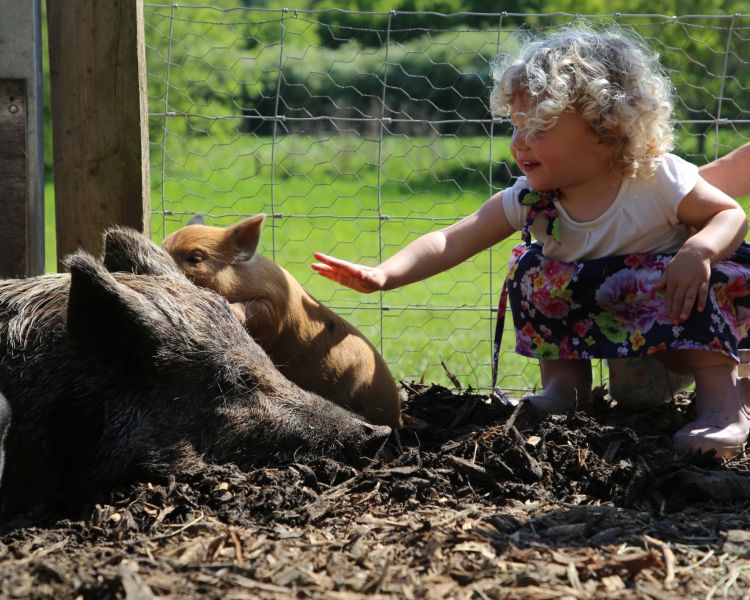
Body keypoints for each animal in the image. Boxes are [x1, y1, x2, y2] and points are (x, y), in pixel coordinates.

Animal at [162, 215, 402, 428]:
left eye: (195, 258)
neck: (243, 280)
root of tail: (398, 412)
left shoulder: (274, 309)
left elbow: (253, 311)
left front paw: (227, 306)